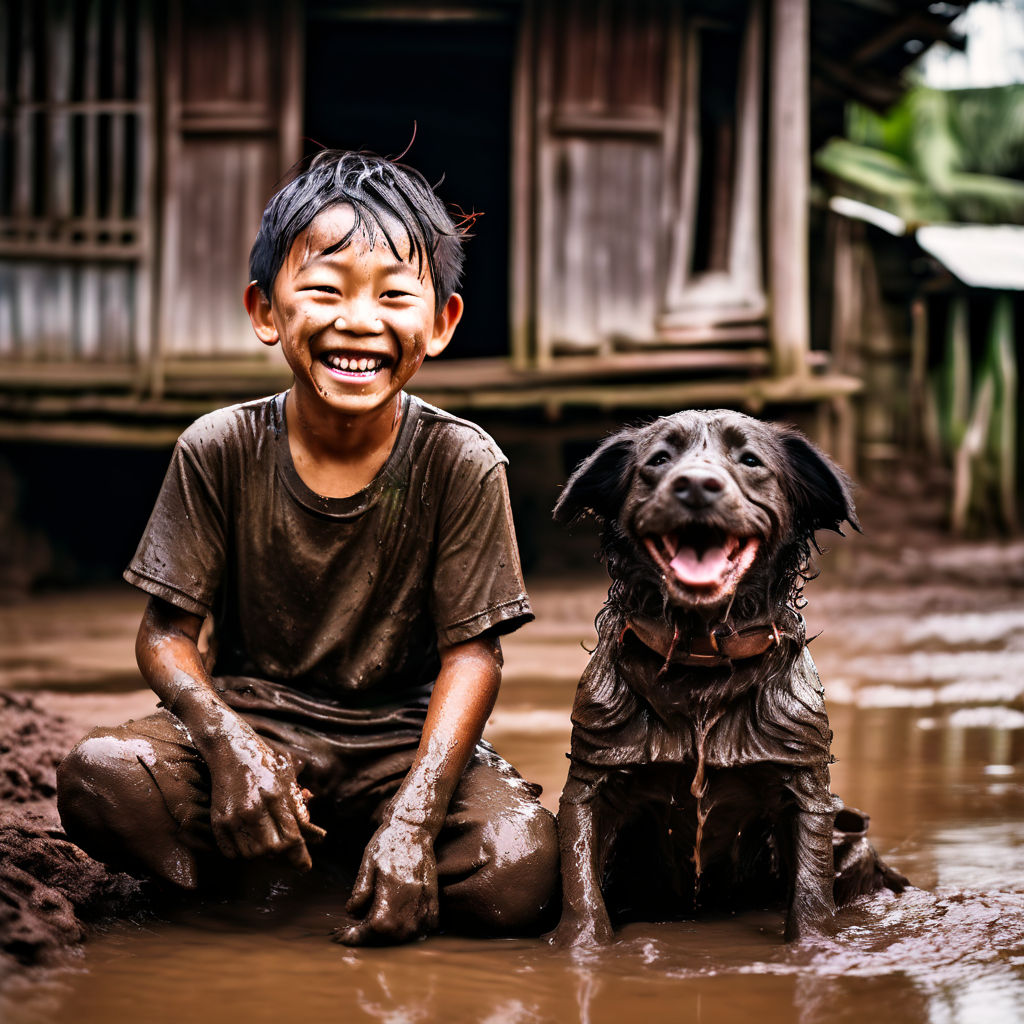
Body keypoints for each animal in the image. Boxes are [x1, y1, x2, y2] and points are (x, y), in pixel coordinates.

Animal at [548, 407, 909, 942]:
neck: (703, 663)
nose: (697, 484)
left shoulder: (804, 789)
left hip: (851, 836)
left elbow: (810, 900)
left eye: (750, 460)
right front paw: (579, 948)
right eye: (659, 460)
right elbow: (582, 895)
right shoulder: (593, 781)